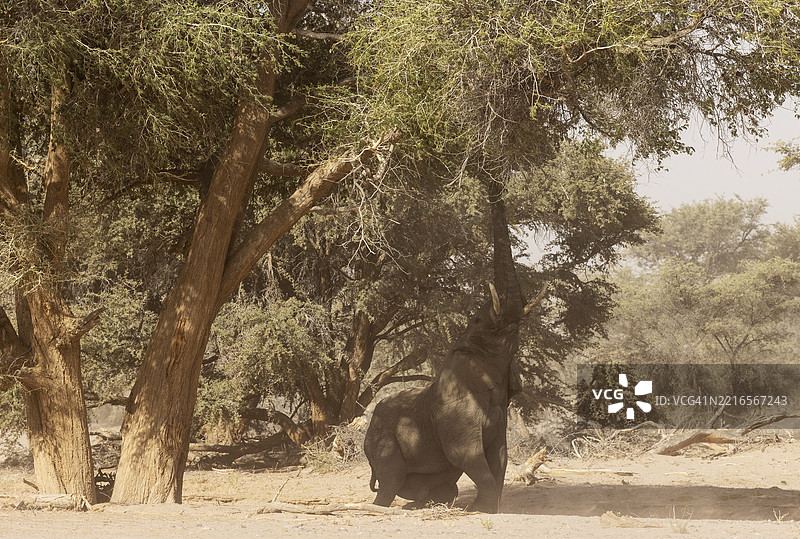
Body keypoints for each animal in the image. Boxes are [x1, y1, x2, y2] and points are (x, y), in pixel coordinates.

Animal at [363, 192, 545, 513]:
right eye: (478, 320)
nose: (492, 186)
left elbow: (499, 458)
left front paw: (485, 509)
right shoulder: (456, 413)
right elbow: (468, 456)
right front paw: (480, 511)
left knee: (445, 490)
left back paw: (419, 507)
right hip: (380, 440)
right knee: (390, 480)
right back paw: (382, 507)